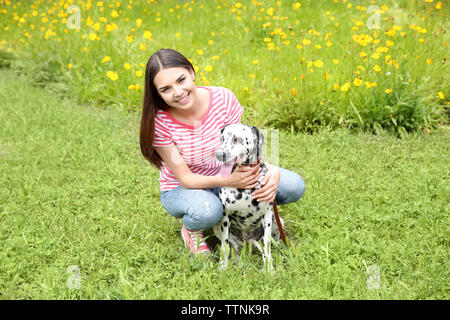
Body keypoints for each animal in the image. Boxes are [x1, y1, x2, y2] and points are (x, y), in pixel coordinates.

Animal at [214, 123, 284, 272]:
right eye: (222, 139)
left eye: (237, 139)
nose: (219, 155)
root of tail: (247, 240)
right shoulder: (225, 218)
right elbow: (225, 245)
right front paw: (223, 264)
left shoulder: (267, 215)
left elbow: (267, 245)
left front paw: (269, 268)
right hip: (217, 226)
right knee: (233, 246)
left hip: (277, 220)